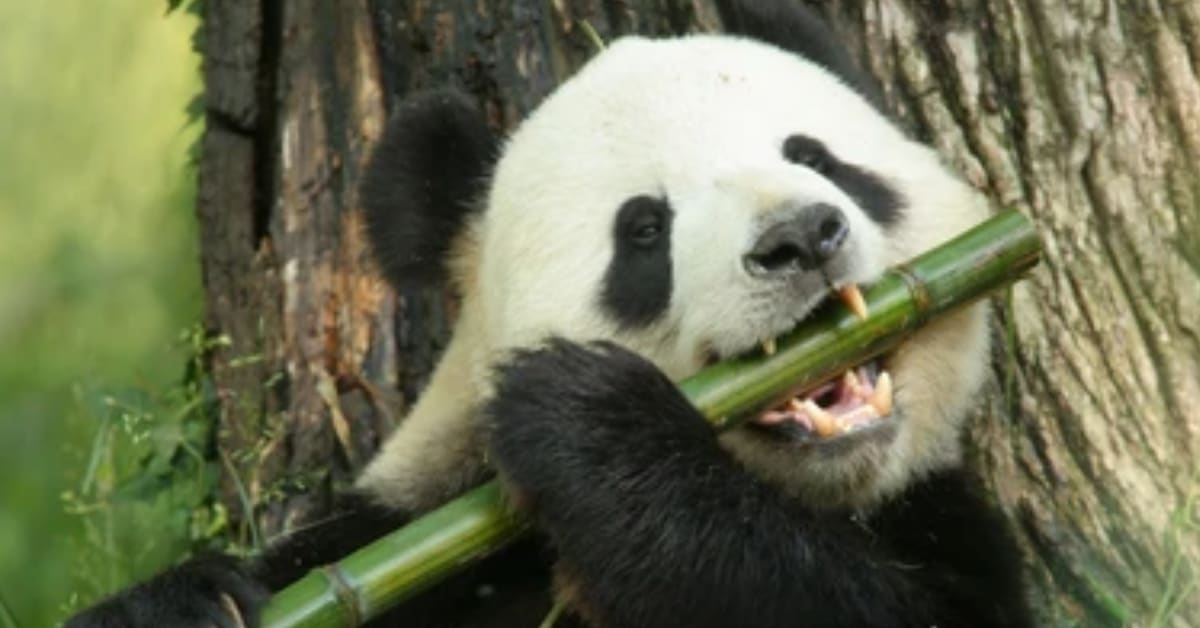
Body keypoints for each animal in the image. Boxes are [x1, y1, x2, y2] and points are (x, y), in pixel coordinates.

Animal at [67, 1, 1032, 627]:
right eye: (644, 229)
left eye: (817, 157)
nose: (801, 236)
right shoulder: (426, 547)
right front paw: (171, 605)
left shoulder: (943, 526)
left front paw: (592, 425)